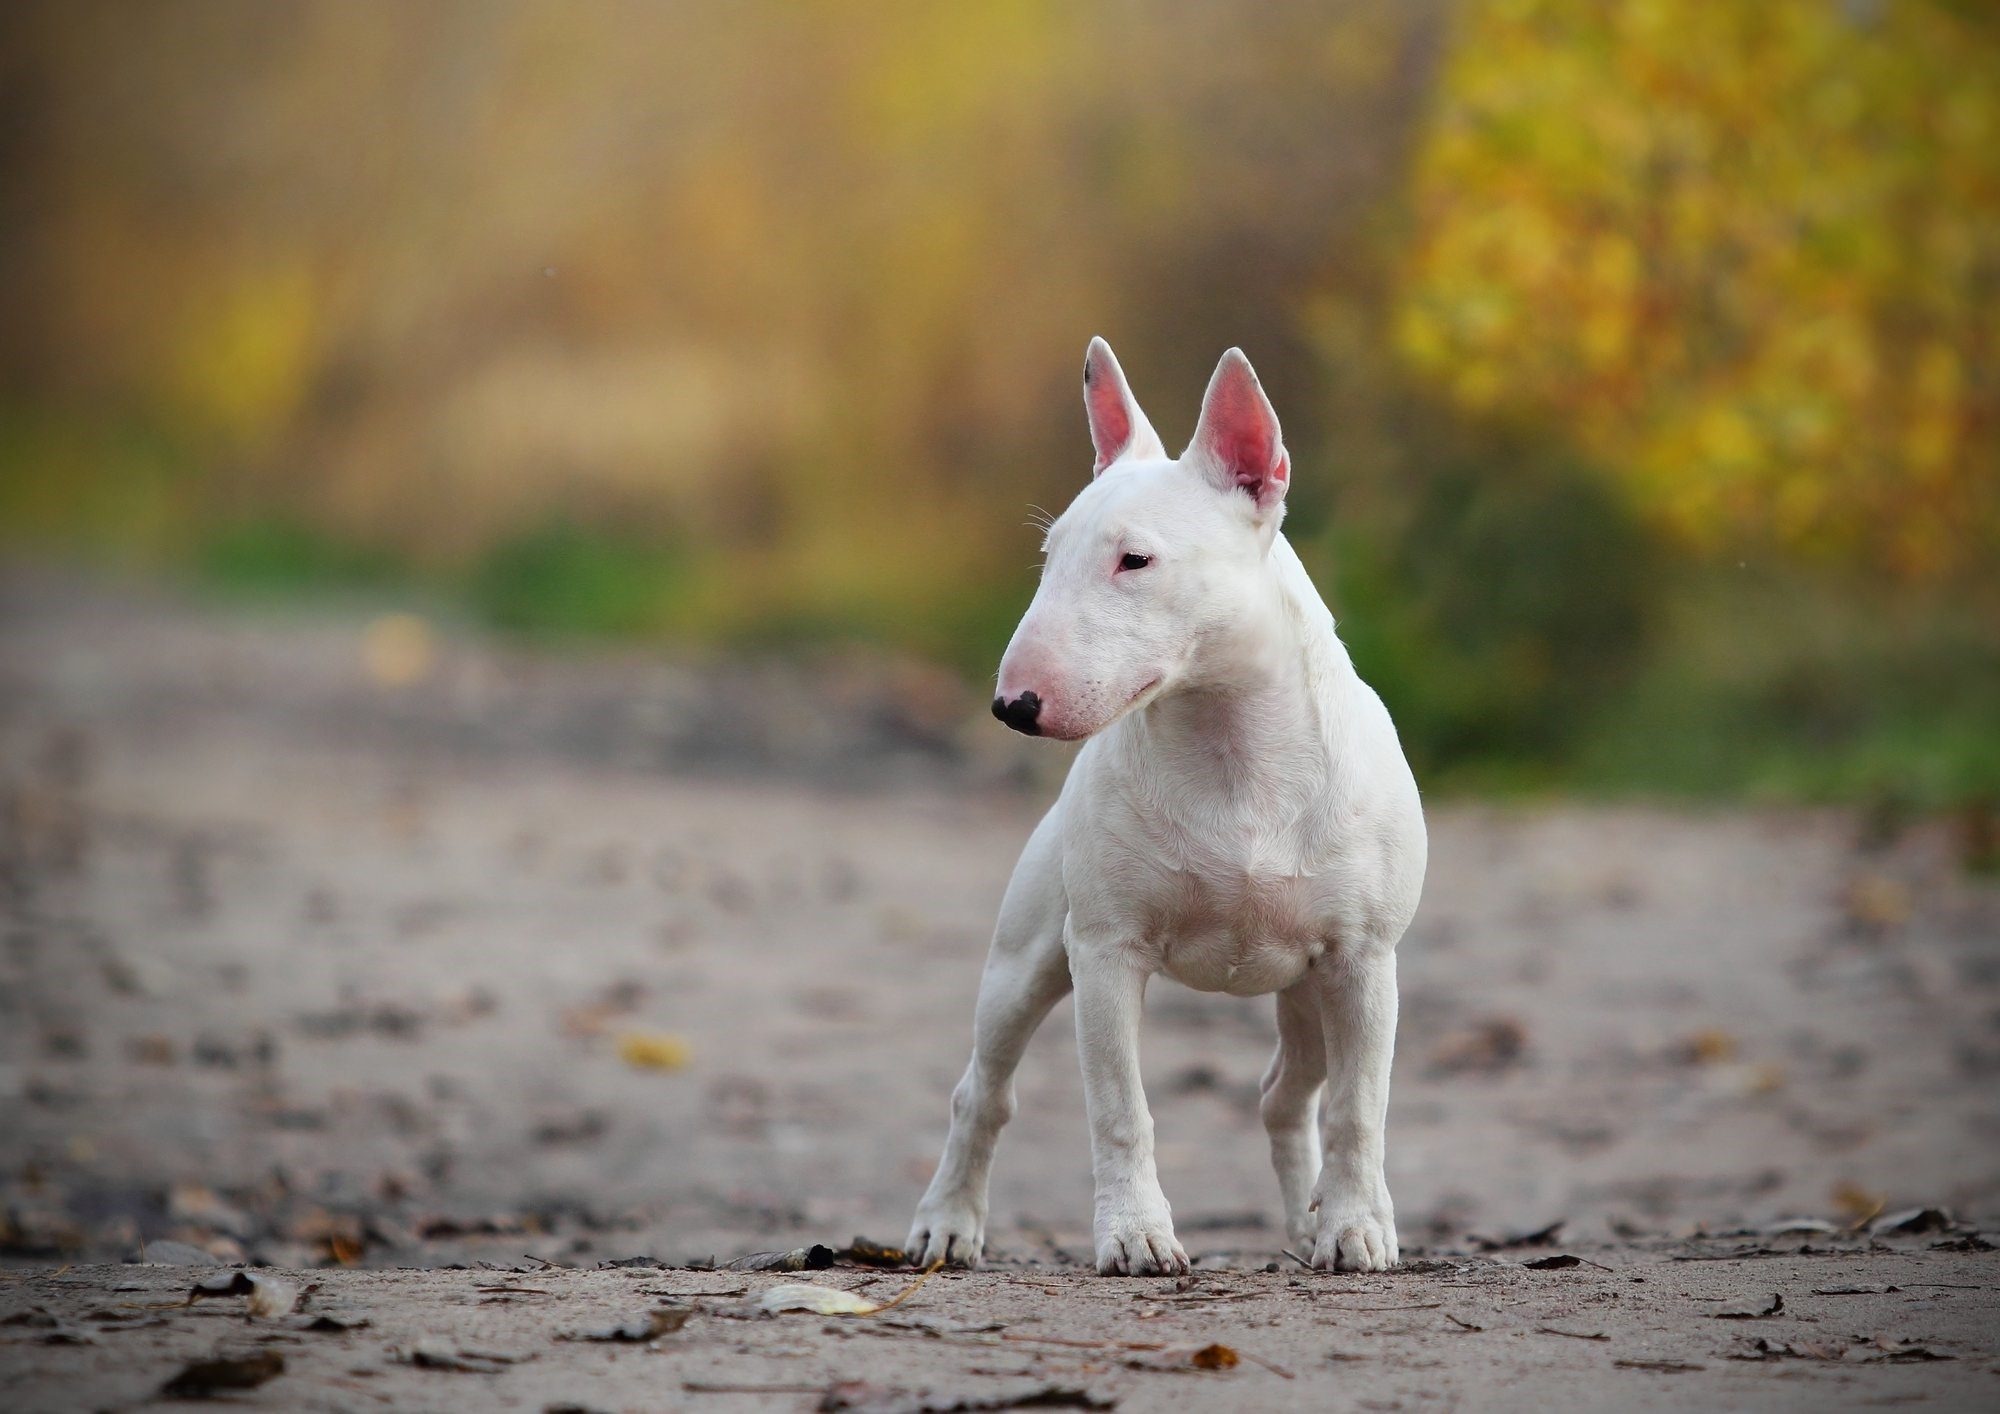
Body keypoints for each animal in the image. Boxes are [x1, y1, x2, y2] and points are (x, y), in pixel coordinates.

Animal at [908, 346, 1424, 1280]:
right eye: (1049, 556)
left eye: (1135, 561)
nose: (1012, 706)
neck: (1231, 748)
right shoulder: (1105, 952)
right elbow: (1120, 1107)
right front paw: (1135, 1235)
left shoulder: (1365, 961)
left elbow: (1359, 1108)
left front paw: (1358, 1230)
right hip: (1024, 961)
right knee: (982, 1090)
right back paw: (947, 1224)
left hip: (1310, 994)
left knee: (1288, 1096)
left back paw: (1308, 1229)